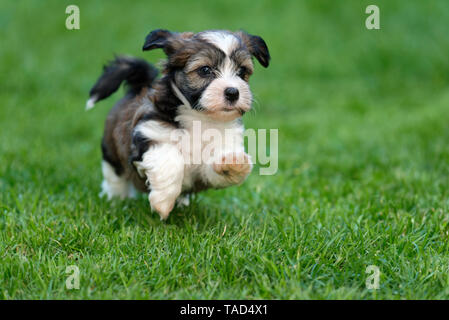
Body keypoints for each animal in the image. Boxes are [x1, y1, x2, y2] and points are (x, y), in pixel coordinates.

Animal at [87, 29, 270, 220]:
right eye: (205, 70)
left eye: (242, 71)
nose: (233, 92)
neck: (199, 118)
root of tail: (137, 88)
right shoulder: (150, 133)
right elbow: (170, 159)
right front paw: (163, 202)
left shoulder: (207, 167)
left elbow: (214, 169)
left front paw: (233, 162)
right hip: (112, 153)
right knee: (115, 176)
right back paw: (116, 199)